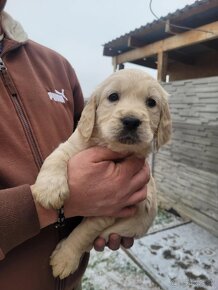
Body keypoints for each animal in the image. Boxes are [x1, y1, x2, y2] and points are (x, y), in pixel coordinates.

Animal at [31, 68, 170, 278]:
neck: (109, 145)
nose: (131, 121)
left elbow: (84, 232)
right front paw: (49, 190)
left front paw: (65, 259)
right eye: (113, 96)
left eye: (151, 102)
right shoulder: (73, 145)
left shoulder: (112, 207)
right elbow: (56, 156)